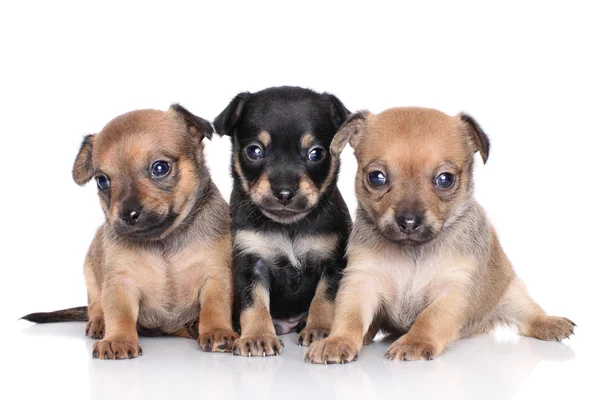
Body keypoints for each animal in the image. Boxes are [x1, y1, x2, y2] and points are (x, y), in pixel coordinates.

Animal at [23, 105, 239, 360]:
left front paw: (217, 330)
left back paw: (193, 327)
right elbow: (119, 314)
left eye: (160, 168)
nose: (128, 214)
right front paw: (118, 339)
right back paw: (99, 323)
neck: (163, 242)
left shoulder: (215, 276)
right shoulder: (120, 283)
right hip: (91, 270)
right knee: (96, 305)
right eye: (102, 181)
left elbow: (215, 307)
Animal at [214, 86, 352, 354]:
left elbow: (324, 300)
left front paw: (320, 330)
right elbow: (254, 304)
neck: (289, 227)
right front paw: (257, 336)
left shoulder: (332, 262)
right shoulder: (250, 263)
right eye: (254, 151)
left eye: (316, 153)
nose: (284, 192)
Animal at [308, 108, 576, 364]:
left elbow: (430, 319)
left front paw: (414, 343)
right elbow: (349, 316)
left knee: (529, 314)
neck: (413, 251)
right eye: (376, 177)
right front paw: (338, 341)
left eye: (445, 180)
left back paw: (552, 323)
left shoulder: (454, 290)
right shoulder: (361, 282)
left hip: (511, 293)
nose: (409, 221)